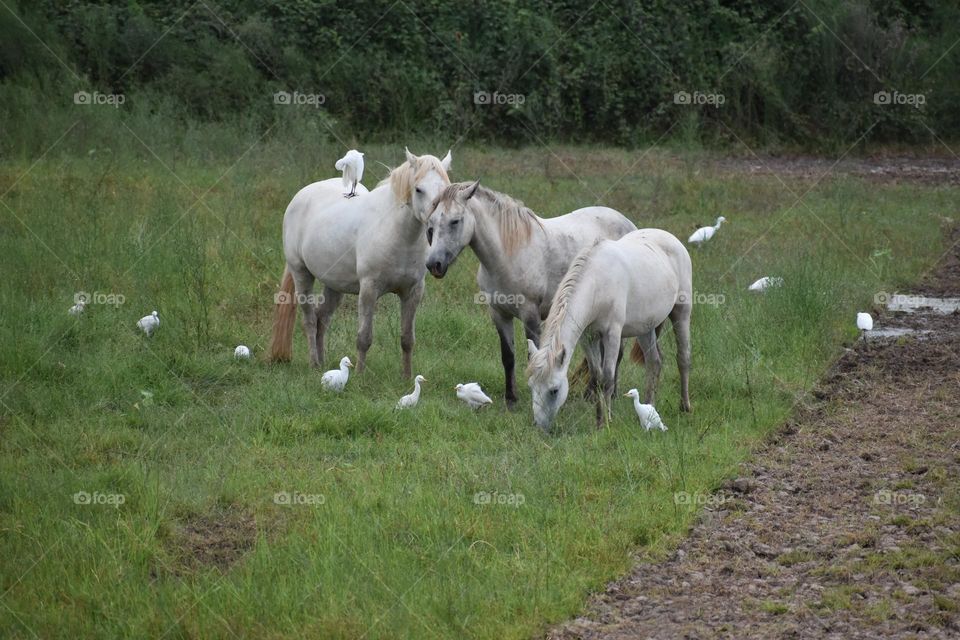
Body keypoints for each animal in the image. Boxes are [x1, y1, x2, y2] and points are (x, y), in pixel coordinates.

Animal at [269, 148, 452, 377]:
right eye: (419, 189)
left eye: (446, 190)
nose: (436, 225)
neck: (396, 233)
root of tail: (299, 197)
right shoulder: (368, 290)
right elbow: (364, 337)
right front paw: (359, 375)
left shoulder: (413, 292)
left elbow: (407, 339)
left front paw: (407, 377)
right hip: (301, 274)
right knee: (310, 320)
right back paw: (314, 364)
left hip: (333, 284)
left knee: (322, 318)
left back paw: (323, 361)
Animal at [424, 180, 637, 407]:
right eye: (431, 223)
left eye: (455, 221)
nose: (434, 264)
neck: (509, 255)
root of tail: (628, 223)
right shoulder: (499, 314)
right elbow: (508, 357)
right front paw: (511, 399)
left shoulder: (531, 316)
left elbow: (533, 357)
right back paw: (589, 395)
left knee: (616, 354)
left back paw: (609, 395)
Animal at [526, 229, 693, 431]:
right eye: (531, 386)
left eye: (554, 390)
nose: (539, 426)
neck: (597, 284)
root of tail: (671, 238)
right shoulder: (588, 337)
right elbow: (596, 377)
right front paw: (598, 420)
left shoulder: (612, 334)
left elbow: (607, 379)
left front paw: (606, 421)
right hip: (645, 327)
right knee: (654, 363)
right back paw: (649, 407)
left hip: (681, 314)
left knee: (683, 358)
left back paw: (685, 406)